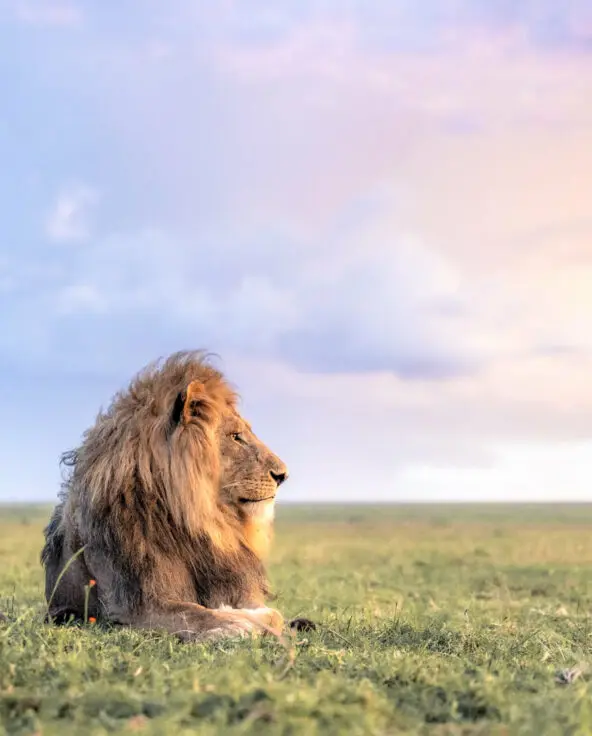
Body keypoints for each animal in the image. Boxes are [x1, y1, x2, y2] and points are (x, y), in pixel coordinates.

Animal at [41, 351, 292, 641]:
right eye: (236, 436)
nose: (283, 475)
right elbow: (198, 614)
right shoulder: (137, 609)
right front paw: (237, 623)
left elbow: (272, 614)